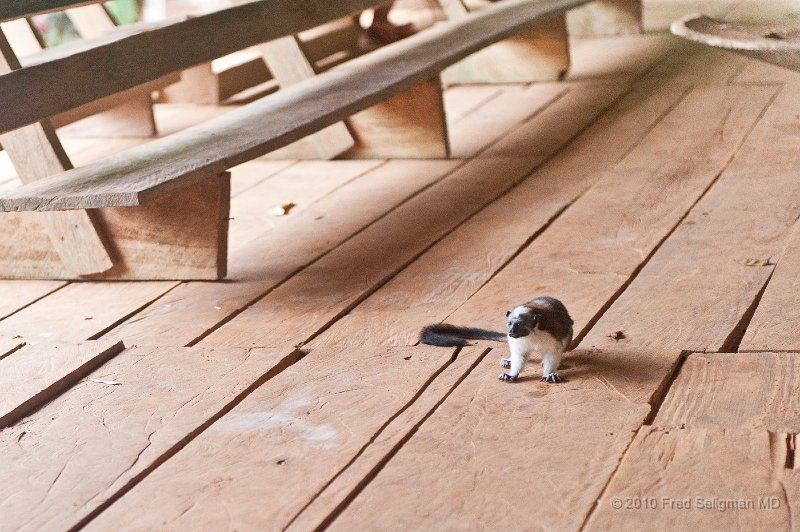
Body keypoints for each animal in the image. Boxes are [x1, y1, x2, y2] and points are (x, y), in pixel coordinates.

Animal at [419, 296, 574, 383]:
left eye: (518, 325)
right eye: (509, 323)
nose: (511, 332)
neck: (531, 334)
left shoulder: (551, 334)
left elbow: (554, 352)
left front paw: (549, 373)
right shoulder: (516, 341)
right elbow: (519, 356)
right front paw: (512, 374)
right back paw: (509, 360)